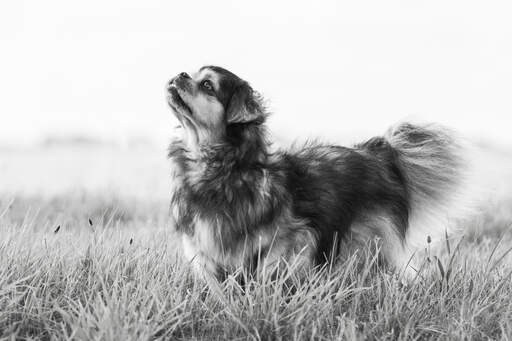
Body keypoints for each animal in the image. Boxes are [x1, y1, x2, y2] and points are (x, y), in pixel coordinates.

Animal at [166, 65, 474, 280]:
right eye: (192, 73)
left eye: (207, 85)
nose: (180, 74)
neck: (219, 169)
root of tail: (378, 152)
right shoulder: (204, 249)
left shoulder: (293, 237)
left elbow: (270, 265)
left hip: (369, 239)